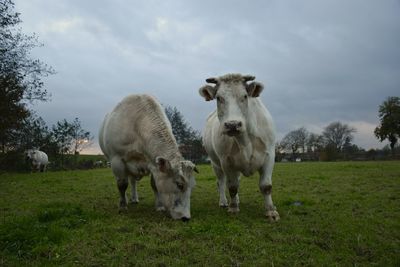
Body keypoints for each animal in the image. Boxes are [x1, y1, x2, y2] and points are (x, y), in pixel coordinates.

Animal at [99, 94, 198, 222]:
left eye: (193, 186)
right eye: (179, 185)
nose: (185, 217)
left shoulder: (152, 163)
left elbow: (154, 184)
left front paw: (159, 206)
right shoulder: (117, 159)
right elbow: (122, 184)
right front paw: (122, 206)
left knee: (132, 181)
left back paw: (134, 198)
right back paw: (126, 200)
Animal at [198, 73, 280, 222]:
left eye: (245, 96)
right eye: (218, 98)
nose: (232, 124)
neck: (245, 140)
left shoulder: (269, 156)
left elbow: (266, 186)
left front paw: (271, 211)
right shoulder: (226, 161)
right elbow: (232, 186)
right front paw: (233, 208)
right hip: (215, 164)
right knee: (221, 182)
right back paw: (225, 202)